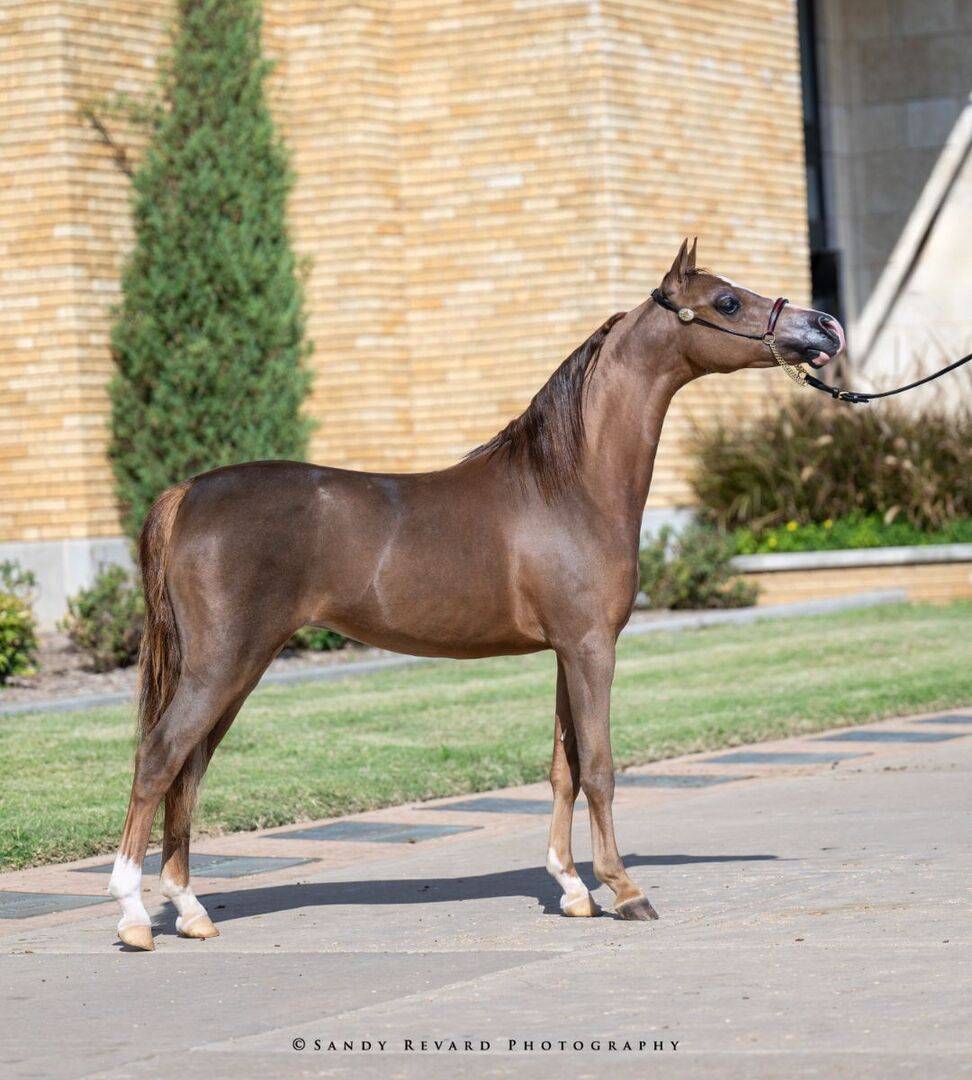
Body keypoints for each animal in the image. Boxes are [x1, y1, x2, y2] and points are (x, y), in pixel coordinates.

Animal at [107, 239, 844, 950]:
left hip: (238, 668)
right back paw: (134, 916)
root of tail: (188, 493)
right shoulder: (592, 649)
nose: (825, 328)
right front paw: (624, 890)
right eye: (728, 300)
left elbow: (563, 768)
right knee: (158, 760)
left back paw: (191, 911)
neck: (567, 485)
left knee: (188, 770)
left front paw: (571, 889)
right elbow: (600, 766)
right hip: (221, 664)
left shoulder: (565, 652)